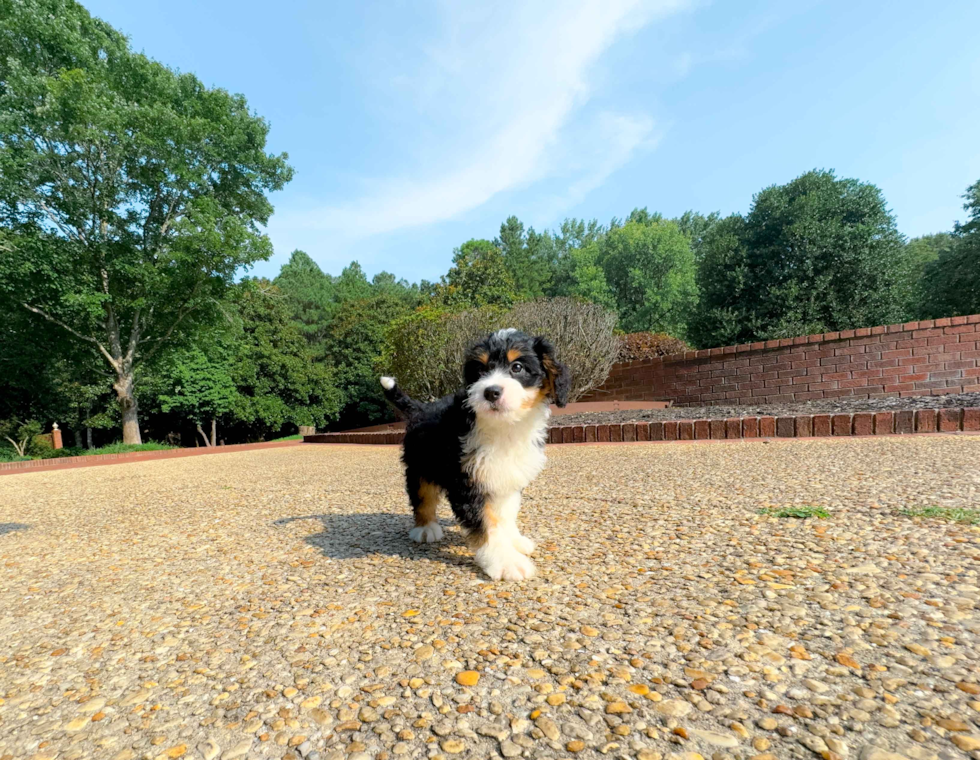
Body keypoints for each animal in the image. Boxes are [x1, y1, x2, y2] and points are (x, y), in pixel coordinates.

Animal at [378, 328, 572, 580]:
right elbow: (486, 522)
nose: (491, 392)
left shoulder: (505, 475)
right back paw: (425, 528)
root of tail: (421, 408)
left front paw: (513, 540)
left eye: (517, 367)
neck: (503, 428)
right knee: (422, 495)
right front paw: (505, 560)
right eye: (479, 371)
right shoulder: (466, 481)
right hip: (420, 463)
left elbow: (506, 513)